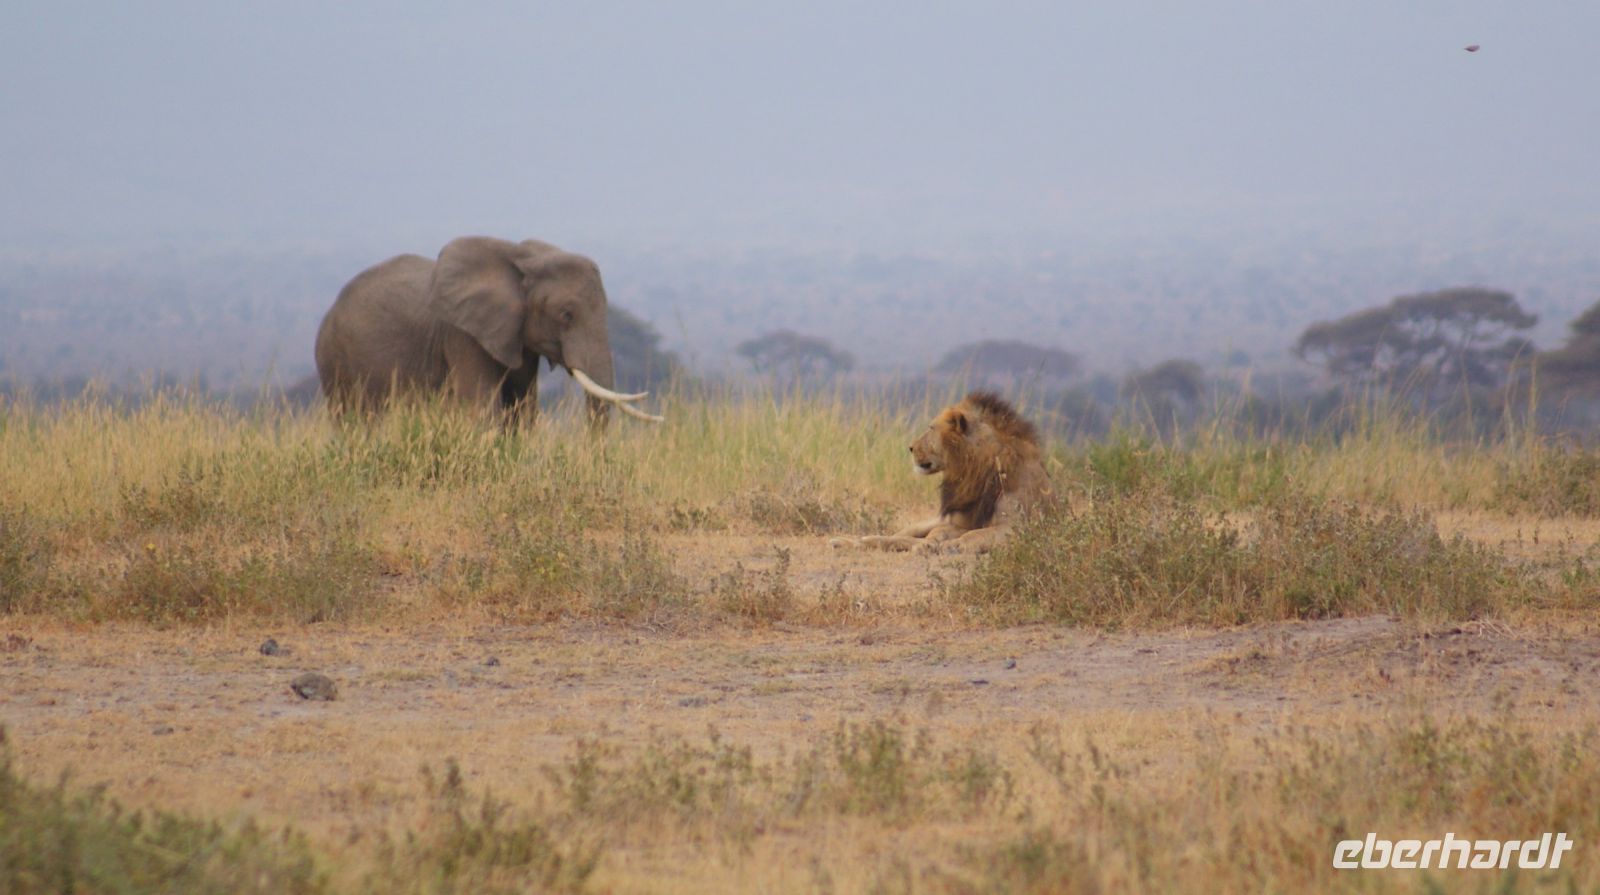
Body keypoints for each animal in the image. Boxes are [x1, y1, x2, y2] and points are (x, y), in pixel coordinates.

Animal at [314, 236, 662, 424]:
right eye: (566, 315)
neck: (522, 258)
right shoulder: (462, 334)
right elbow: (482, 408)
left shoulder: (517, 335)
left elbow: (521, 410)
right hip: (334, 358)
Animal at [836, 391, 1051, 554]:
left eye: (931, 428)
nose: (910, 447)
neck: (976, 472)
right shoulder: (958, 522)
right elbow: (940, 533)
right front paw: (935, 544)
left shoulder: (1017, 527)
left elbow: (975, 534)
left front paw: (953, 545)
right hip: (923, 523)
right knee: (897, 536)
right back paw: (848, 542)